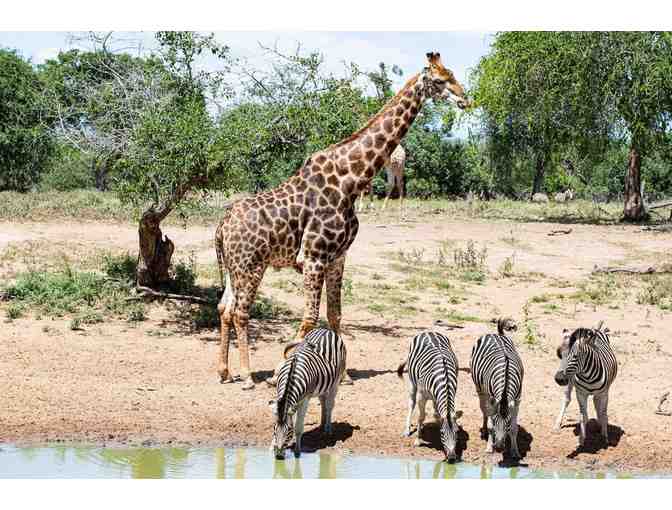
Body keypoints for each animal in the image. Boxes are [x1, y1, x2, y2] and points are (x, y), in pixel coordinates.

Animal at [214, 51, 468, 388]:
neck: (351, 180)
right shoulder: (312, 258)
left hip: (234, 268)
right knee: (241, 313)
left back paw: (224, 371)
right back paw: (247, 375)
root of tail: (221, 226)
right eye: (439, 81)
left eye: (453, 74)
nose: (464, 98)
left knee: (224, 308)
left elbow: (335, 315)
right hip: (250, 266)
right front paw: (285, 365)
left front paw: (344, 374)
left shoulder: (337, 257)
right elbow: (310, 317)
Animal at [270, 328, 346, 460]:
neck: (292, 372)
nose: (279, 456)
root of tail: (326, 329)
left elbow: (299, 427)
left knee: (330, 405)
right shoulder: (281, 397)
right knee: (323, 401)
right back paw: (321, 425)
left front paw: (297, 452)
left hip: (335, 382)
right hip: (322, 384)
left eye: (289, 431)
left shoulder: (304, 399)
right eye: (274, 429)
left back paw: (328, 429)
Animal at [394, 330, 462, 462]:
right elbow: (421, 417)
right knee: (411, 403)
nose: (451, 458)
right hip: (412, 381)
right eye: (442, 433)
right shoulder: (422, 396)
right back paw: (407, 430)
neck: (445, 377)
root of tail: (428, 331)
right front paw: (418, 440)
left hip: (435, 398)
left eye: (457, 432)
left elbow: (437, 415)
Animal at [470, 318, 524, 458]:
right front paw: (489, 447)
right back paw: (484, 430)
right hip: (480, 390)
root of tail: (496, 334)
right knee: (483, 409)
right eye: (495, 421)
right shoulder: (491, 400)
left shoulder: (517, 400)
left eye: (507, 422)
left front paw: (515, 451)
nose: (499, 448)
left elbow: (514, 428)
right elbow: (490, 426)